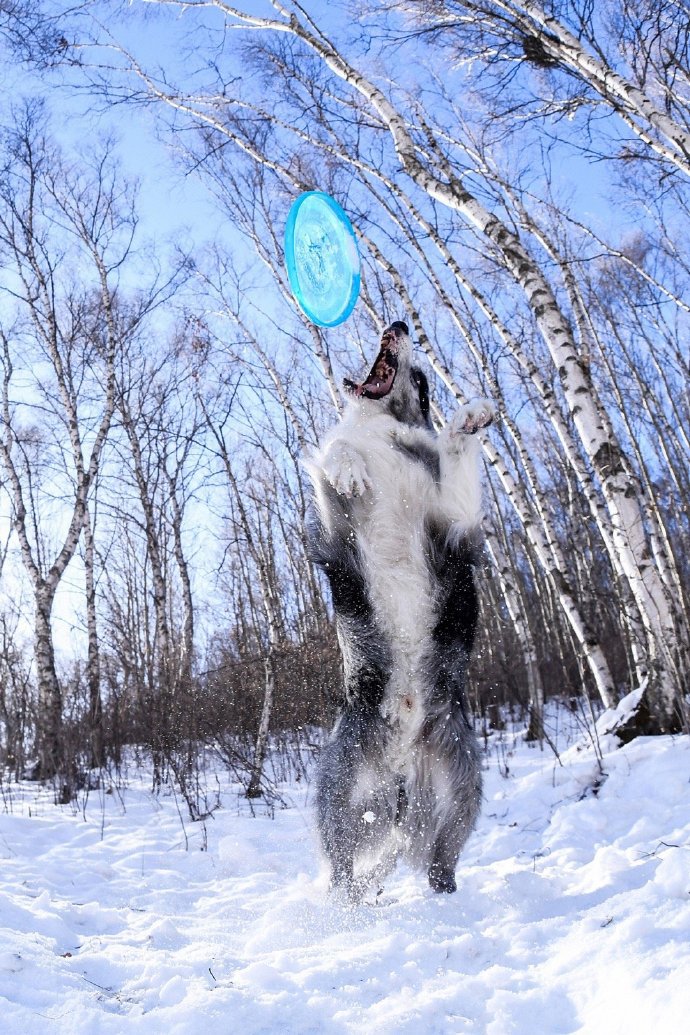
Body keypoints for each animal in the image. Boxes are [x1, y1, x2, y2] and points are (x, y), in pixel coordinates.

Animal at [308, 320, 496, 898]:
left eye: (420, 379)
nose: (399, 324)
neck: (385, 432)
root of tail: (399, 772)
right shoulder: (337, 519)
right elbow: (337, 450)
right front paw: (349, 467)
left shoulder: (452, 518)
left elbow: (458, 461)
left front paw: (470, 420)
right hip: (340, 788)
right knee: (343, 868)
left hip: (463, 785)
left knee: (440, 864)